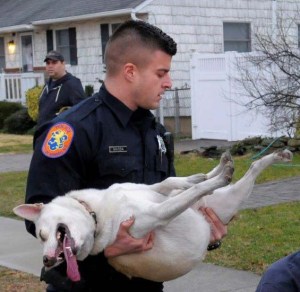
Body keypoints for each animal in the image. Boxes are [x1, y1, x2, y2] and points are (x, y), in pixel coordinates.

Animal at [12, 149, 292, 282]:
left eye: (42, 234)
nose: (48, 260)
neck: (97, 213)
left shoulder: (148, 189)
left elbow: (170, 182)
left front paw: (199, 176)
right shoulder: (157, 214)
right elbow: (187, 194)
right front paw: (211, 179)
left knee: (253, 165)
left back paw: (271, 156)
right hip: (233, 198)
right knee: (248, 171)